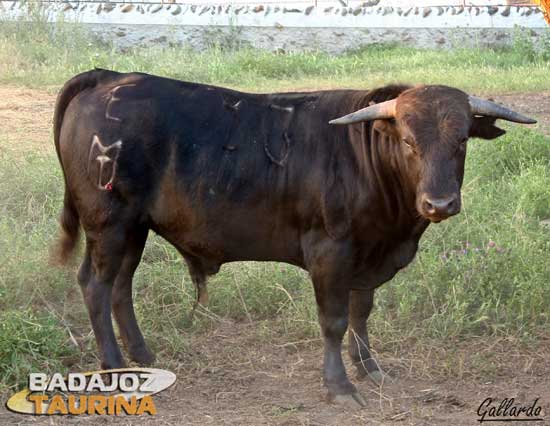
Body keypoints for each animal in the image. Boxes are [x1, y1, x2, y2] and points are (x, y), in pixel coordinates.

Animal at [52, 69, 540, 406]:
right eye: (407, 141)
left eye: (462, 141)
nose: (439, 203)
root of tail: (109, 76)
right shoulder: (330, 252)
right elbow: (335, 320)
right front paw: (339, 386)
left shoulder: (367, 256)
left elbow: (361, 314)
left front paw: (370, 369)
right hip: (109, 224)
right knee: (96, 285)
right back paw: (114, 366)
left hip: (134, 228)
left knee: (121, 285)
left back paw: (142, 354)